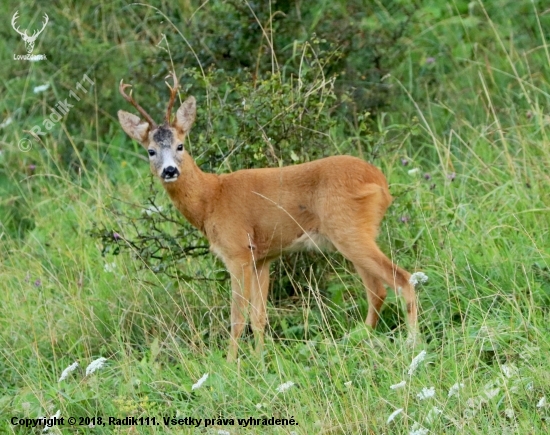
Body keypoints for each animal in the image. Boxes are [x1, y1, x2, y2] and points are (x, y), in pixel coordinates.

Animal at [118, 73, 420, 362]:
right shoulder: (262, 258)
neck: (211, 198)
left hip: (348, 230)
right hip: (353, 235)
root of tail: (380, 182)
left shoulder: (237, 251)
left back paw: (411, 344)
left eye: (180, 146)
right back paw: (356, 343)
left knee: (402, 279)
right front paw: (259, 359)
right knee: (378, 290)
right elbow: (258, 316)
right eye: (151, 151)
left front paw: (231, 365)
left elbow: (237, 318)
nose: (169, 171)